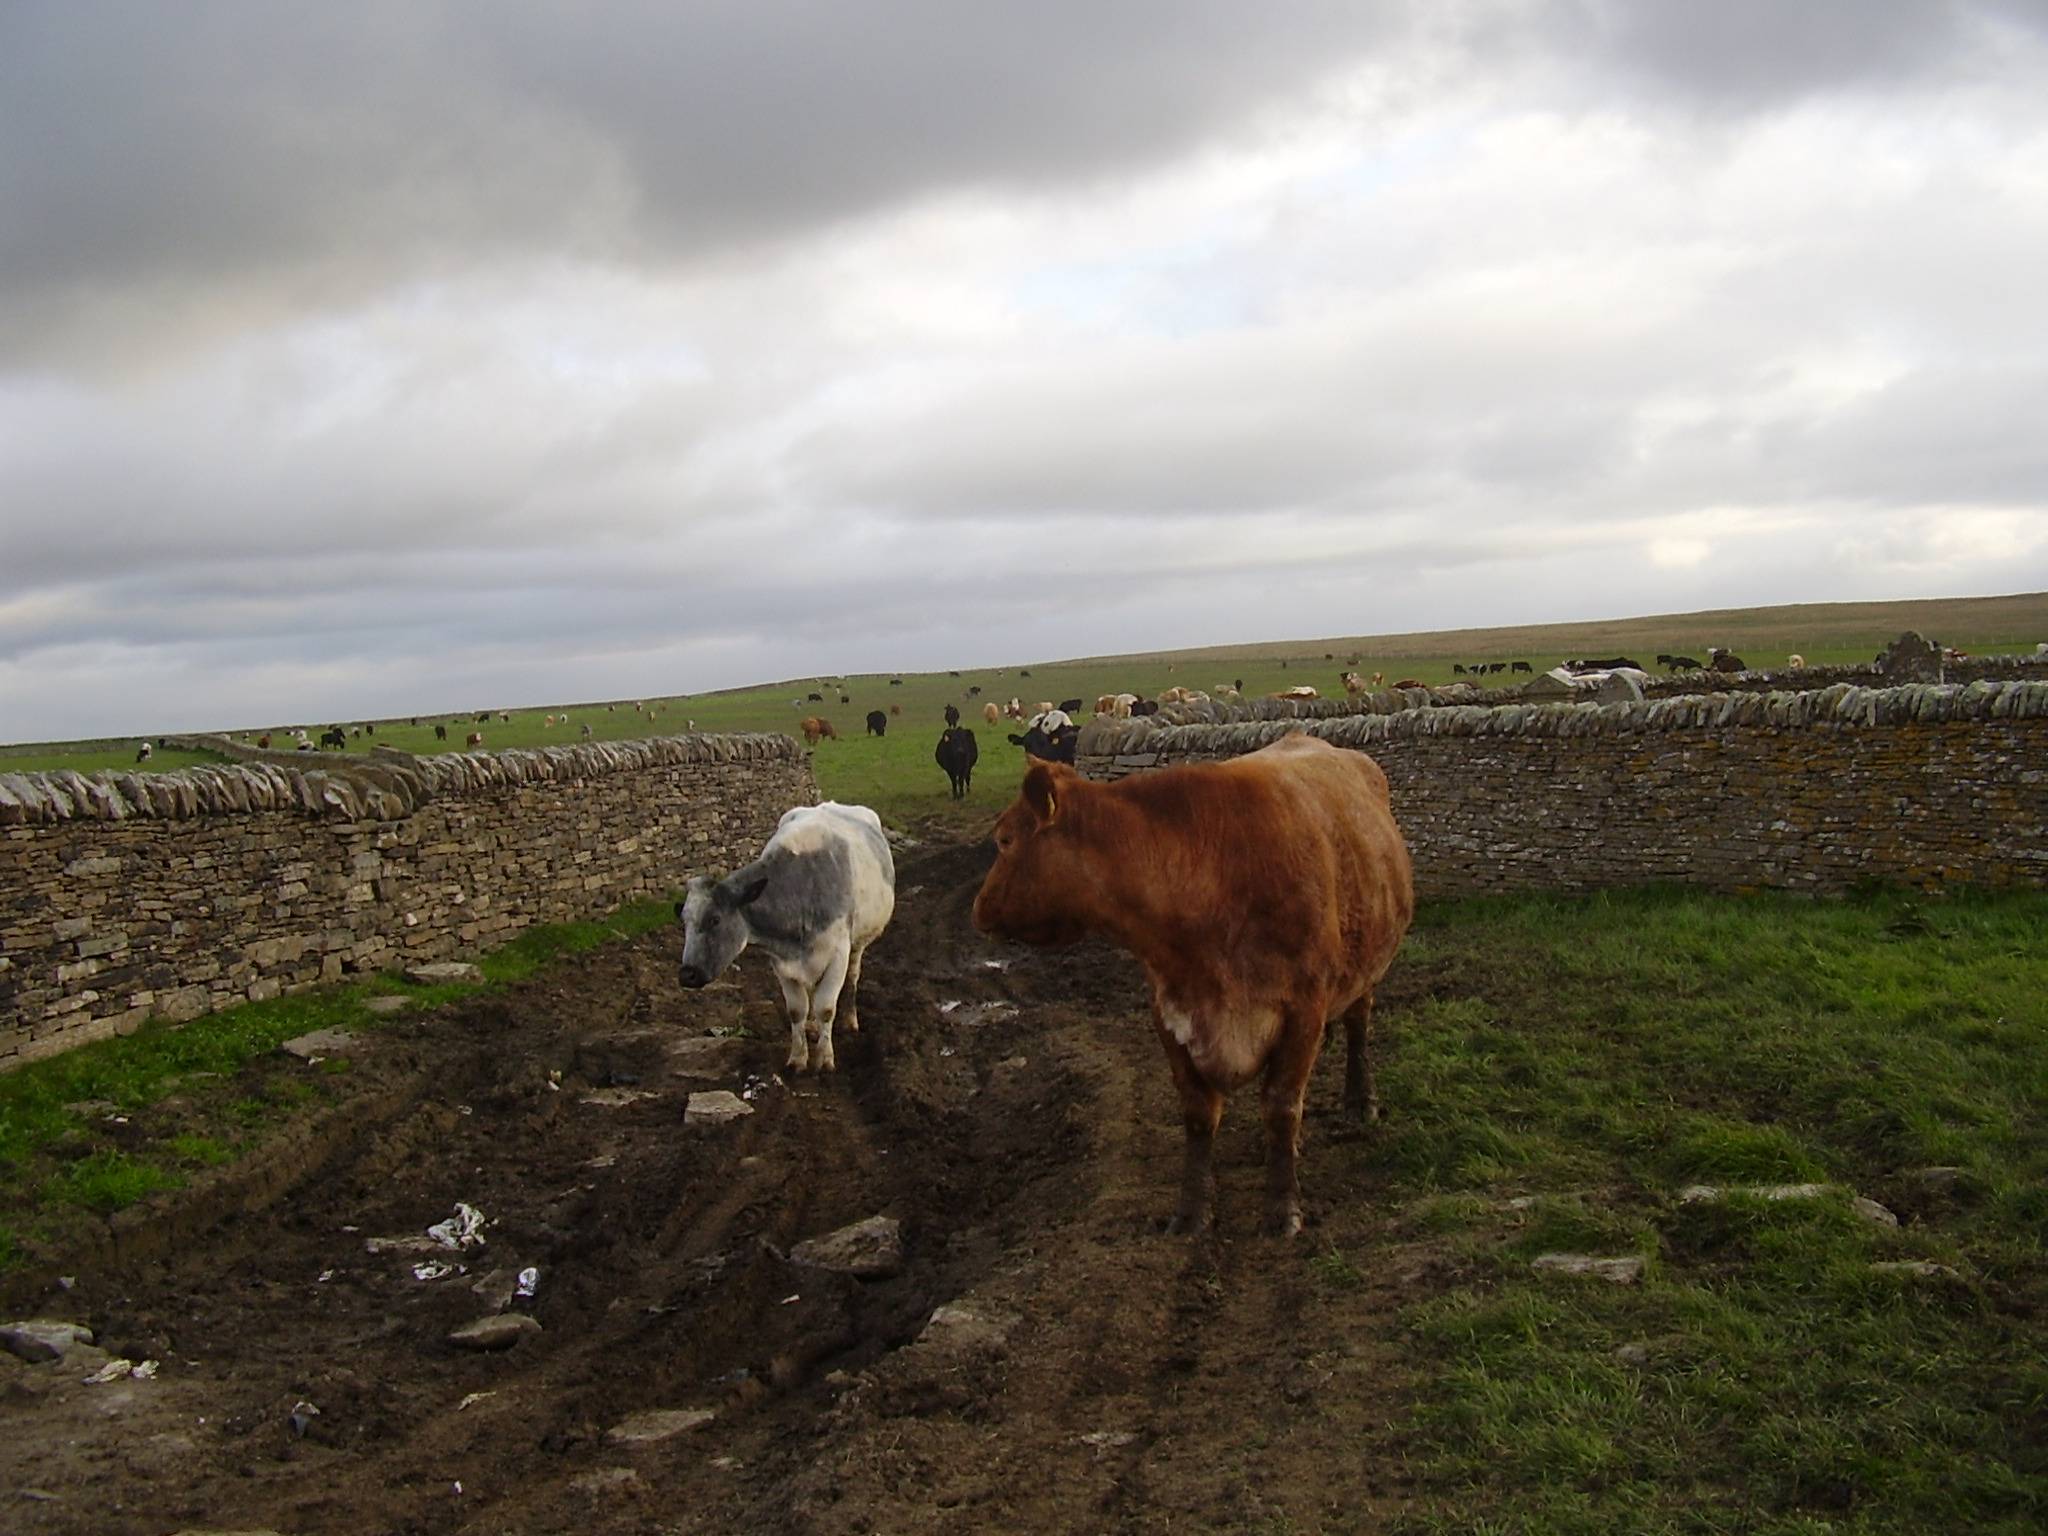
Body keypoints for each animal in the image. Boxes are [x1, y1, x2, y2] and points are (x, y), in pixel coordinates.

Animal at [675, 806, 892, 1073]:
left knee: (852, 976)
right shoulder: (781, 962)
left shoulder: (837, 954)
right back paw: (812, 1027)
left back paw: (850, 1020)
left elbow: (826, 1008)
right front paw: (798, 1058)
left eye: (715, 919)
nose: (687, 974)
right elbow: (796, 1010)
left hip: (858, 943)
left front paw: (824, 1059)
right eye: (684, 921)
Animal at [974, 733, 1409, 1236]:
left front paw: (1283, 1208)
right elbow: (1200, 1115)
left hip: (1365, 970)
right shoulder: (1170, 1013)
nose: (978, 909)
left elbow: (1282, 1108)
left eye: (1005, 839)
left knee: (1359, 1027)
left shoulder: (1305, 1011)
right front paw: (1192, 1210)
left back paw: (1361, 1102)